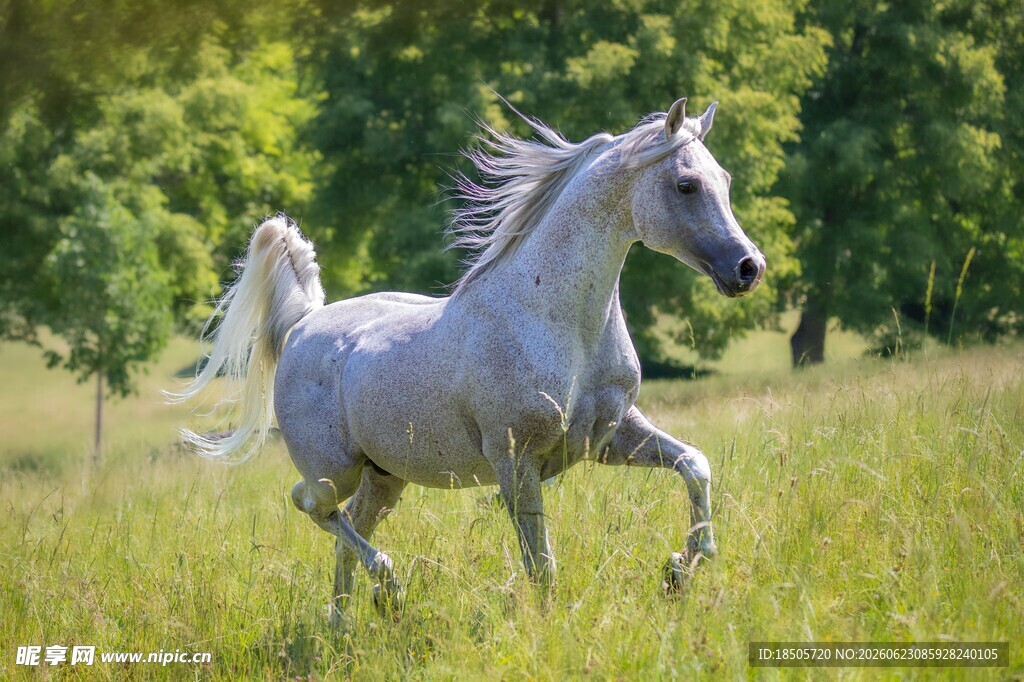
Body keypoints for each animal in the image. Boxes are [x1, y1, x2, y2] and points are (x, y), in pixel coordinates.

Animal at [170, 98, 765, 625]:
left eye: (726, 179)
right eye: (686, 185)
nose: (748, 267)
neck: (555, 322)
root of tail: (303, 325)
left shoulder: (610, 437)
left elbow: (695, 465)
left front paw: (678, 571)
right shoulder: (516, 462)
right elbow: (540, 565)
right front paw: (549, 629)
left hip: (385, 477)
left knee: (349, 529)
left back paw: (344, 626)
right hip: (333, 470)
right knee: (313, 506)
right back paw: (389, 587)